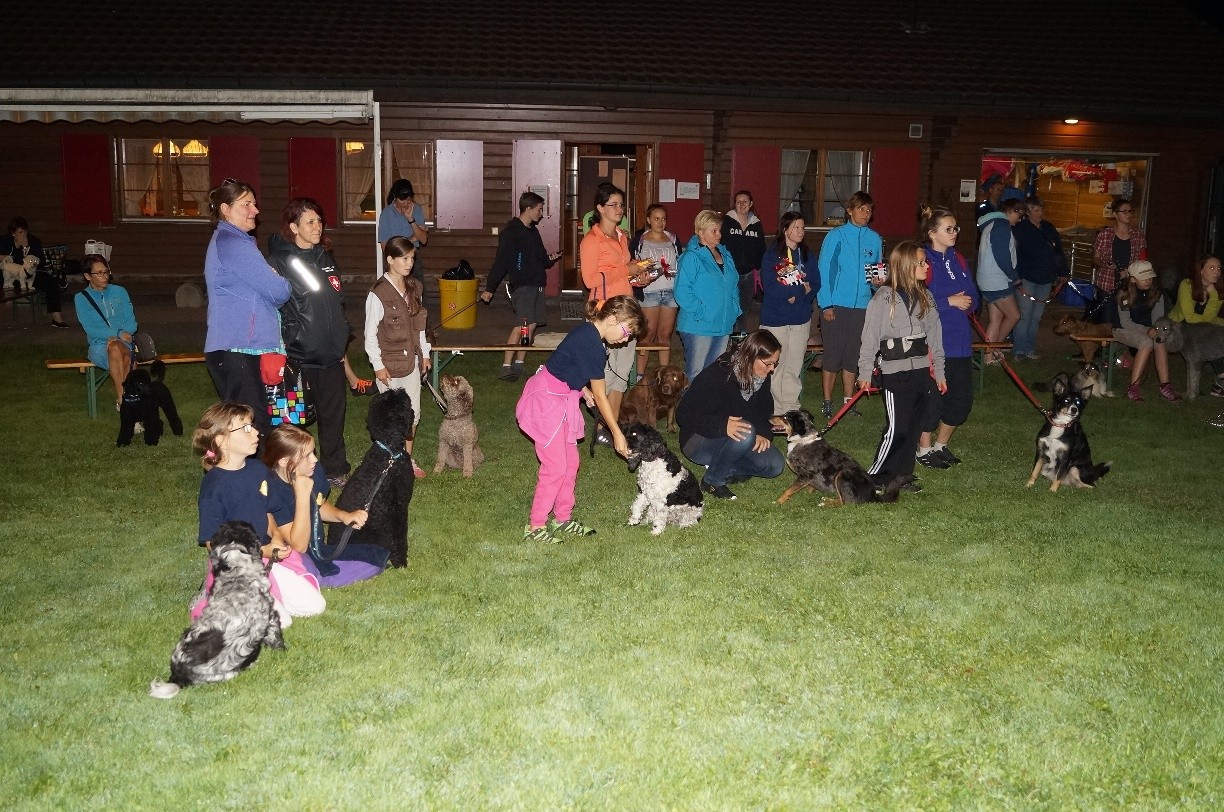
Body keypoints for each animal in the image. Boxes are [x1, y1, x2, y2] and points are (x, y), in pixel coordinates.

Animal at [332, 388, 415, 567]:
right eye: (401, 401)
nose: (402, 390)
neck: (389, 452)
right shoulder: (398, 508)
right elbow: (400, 536)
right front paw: (400, 561)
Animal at [773, 409, 911, 506]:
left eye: (785, 417)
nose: (771, 416)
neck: (802, 441)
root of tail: (873, 495)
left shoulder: (804, 476)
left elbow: (788, 490)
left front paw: (778, 502)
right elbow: (810, 487)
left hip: (842, 474)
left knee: (844, 502)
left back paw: (826, 502)